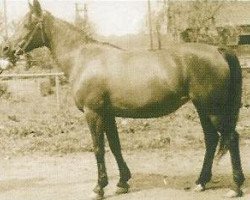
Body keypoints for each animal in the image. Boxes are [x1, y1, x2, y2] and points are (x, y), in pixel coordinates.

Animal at [1, 1, 244, 198]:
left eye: (27, 24)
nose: (6, 49)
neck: (84, 58)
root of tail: (219, 50)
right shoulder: (108, 114)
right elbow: (115, 146)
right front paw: (122, 183)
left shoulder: (93, 113)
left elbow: (98, 148)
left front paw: (99, 188)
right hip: (202, 107)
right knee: (212, 140)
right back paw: (201, 182)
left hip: (213, 109)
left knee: (231, 138)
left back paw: (236, 187)